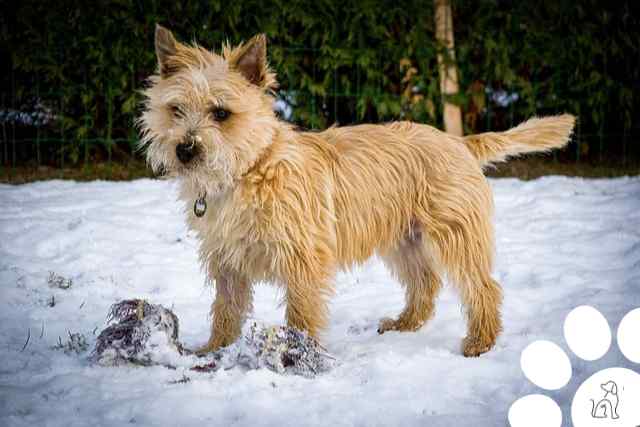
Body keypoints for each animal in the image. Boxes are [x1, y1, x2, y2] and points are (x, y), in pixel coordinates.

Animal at [139, 25, 576, 356]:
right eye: (176, 110)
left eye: (221, 113)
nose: (185, 149)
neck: (250, 170)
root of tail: (458, 142)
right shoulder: (227, 262)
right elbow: (226, 309)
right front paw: (214, 350)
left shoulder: (303, 261)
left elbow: (301, 313)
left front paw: (298, 356)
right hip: (405, 239)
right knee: (425, 284)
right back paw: (405, 324)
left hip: (455, 235)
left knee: (483, 287)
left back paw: (480, 342)